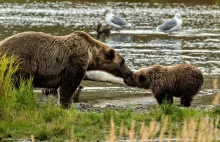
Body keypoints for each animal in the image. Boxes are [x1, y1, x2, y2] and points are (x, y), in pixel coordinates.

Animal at [0, 31, 132, 107]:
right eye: (123, 62)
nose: (129, 73)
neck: (90, 54)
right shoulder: (75, 61)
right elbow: (69, 85)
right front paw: (66, 102)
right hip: (20, 61)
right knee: (16, 82)